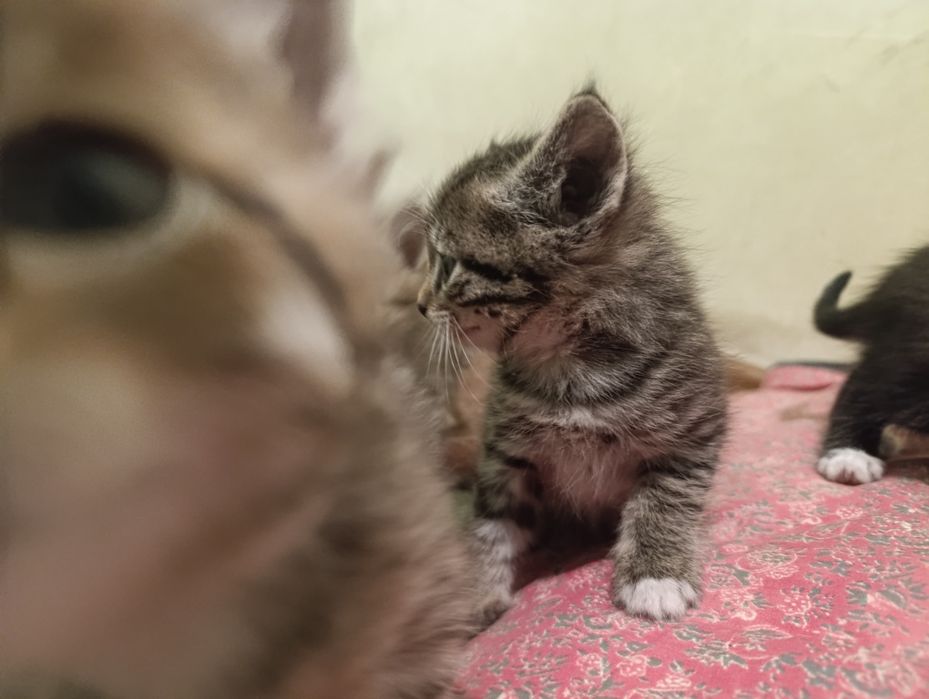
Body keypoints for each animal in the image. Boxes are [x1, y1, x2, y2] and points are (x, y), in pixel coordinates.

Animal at [409, 86, 728, 624]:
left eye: (447, 264)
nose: (419, 304)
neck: (568, 371)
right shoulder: (503, 454)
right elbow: (489, 522)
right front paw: (475, 590)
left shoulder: (694, 433)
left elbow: (666, 498)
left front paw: (655, 575)